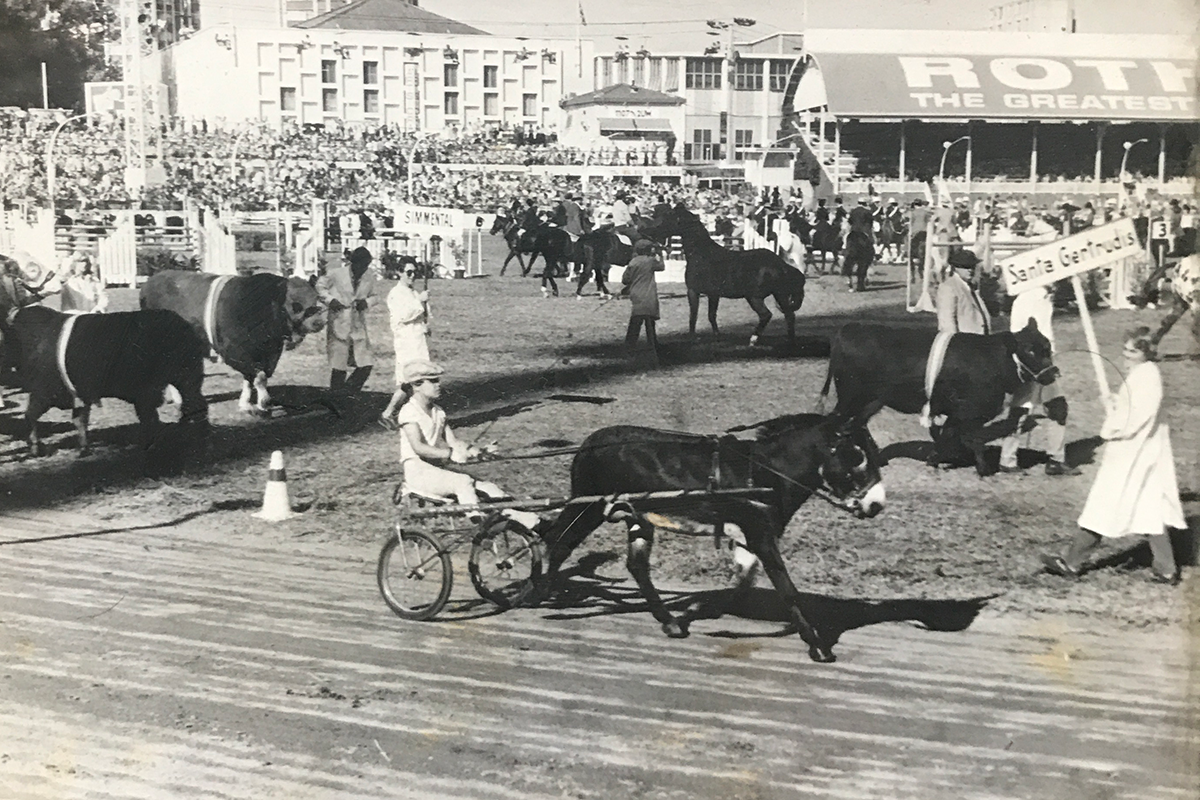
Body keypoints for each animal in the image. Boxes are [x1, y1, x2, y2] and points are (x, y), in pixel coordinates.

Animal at [5, 309, 208, 462]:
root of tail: (182, 324)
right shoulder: (80, 395)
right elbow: (79, 421)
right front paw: (83, 450)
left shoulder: (43, 393)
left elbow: (30, 416)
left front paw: (35, 448)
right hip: (187, 381)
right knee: (194, 407)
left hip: (167, 385)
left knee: (170, 414)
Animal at [139, 273, 326, 417]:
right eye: (295, 304)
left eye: (316, 299)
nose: (318, 323)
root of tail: (150, 281)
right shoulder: (235, 353)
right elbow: (259, 377)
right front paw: (264, 403)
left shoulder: (269, 354)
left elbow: (252, 379)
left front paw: (246, 404)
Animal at [540, 410, 888, 666]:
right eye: (857, 456)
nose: (876, 505)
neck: (764, 472)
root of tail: (589, 442)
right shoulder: (761, 534)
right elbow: (787, 589)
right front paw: (819, 647)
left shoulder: (751, 536)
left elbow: (743, 582)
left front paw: (708, 610)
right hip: (589, 506)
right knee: (556, 543)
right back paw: (536, 593)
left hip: (635, 516)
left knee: (635, 565)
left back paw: (670, 622)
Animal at [652, 205, 811, 345]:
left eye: (669, 217)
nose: (653, 232)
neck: (702, 253)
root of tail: (780, 264)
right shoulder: (713, 294)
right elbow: (711, 315)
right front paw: (717, 336)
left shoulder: (693, 291)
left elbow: (693, 316)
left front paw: (692, 338)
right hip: (780, 295)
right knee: (789, 315)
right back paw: (789, 340)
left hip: (754, 297)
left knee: (766, 315)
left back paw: (753, 339)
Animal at [816, 321, 1060, 479]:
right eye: (1029, 350)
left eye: (1048, 347)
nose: (1053, 373)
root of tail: (848, 329)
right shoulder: (969, 411)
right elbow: (972, 439)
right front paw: (983, 469)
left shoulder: (958, 413)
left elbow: (947, 435)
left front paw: (936, 459)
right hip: (850, 397)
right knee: (837, 421)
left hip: (872, 400)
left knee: (858, 423)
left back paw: (876, 458)